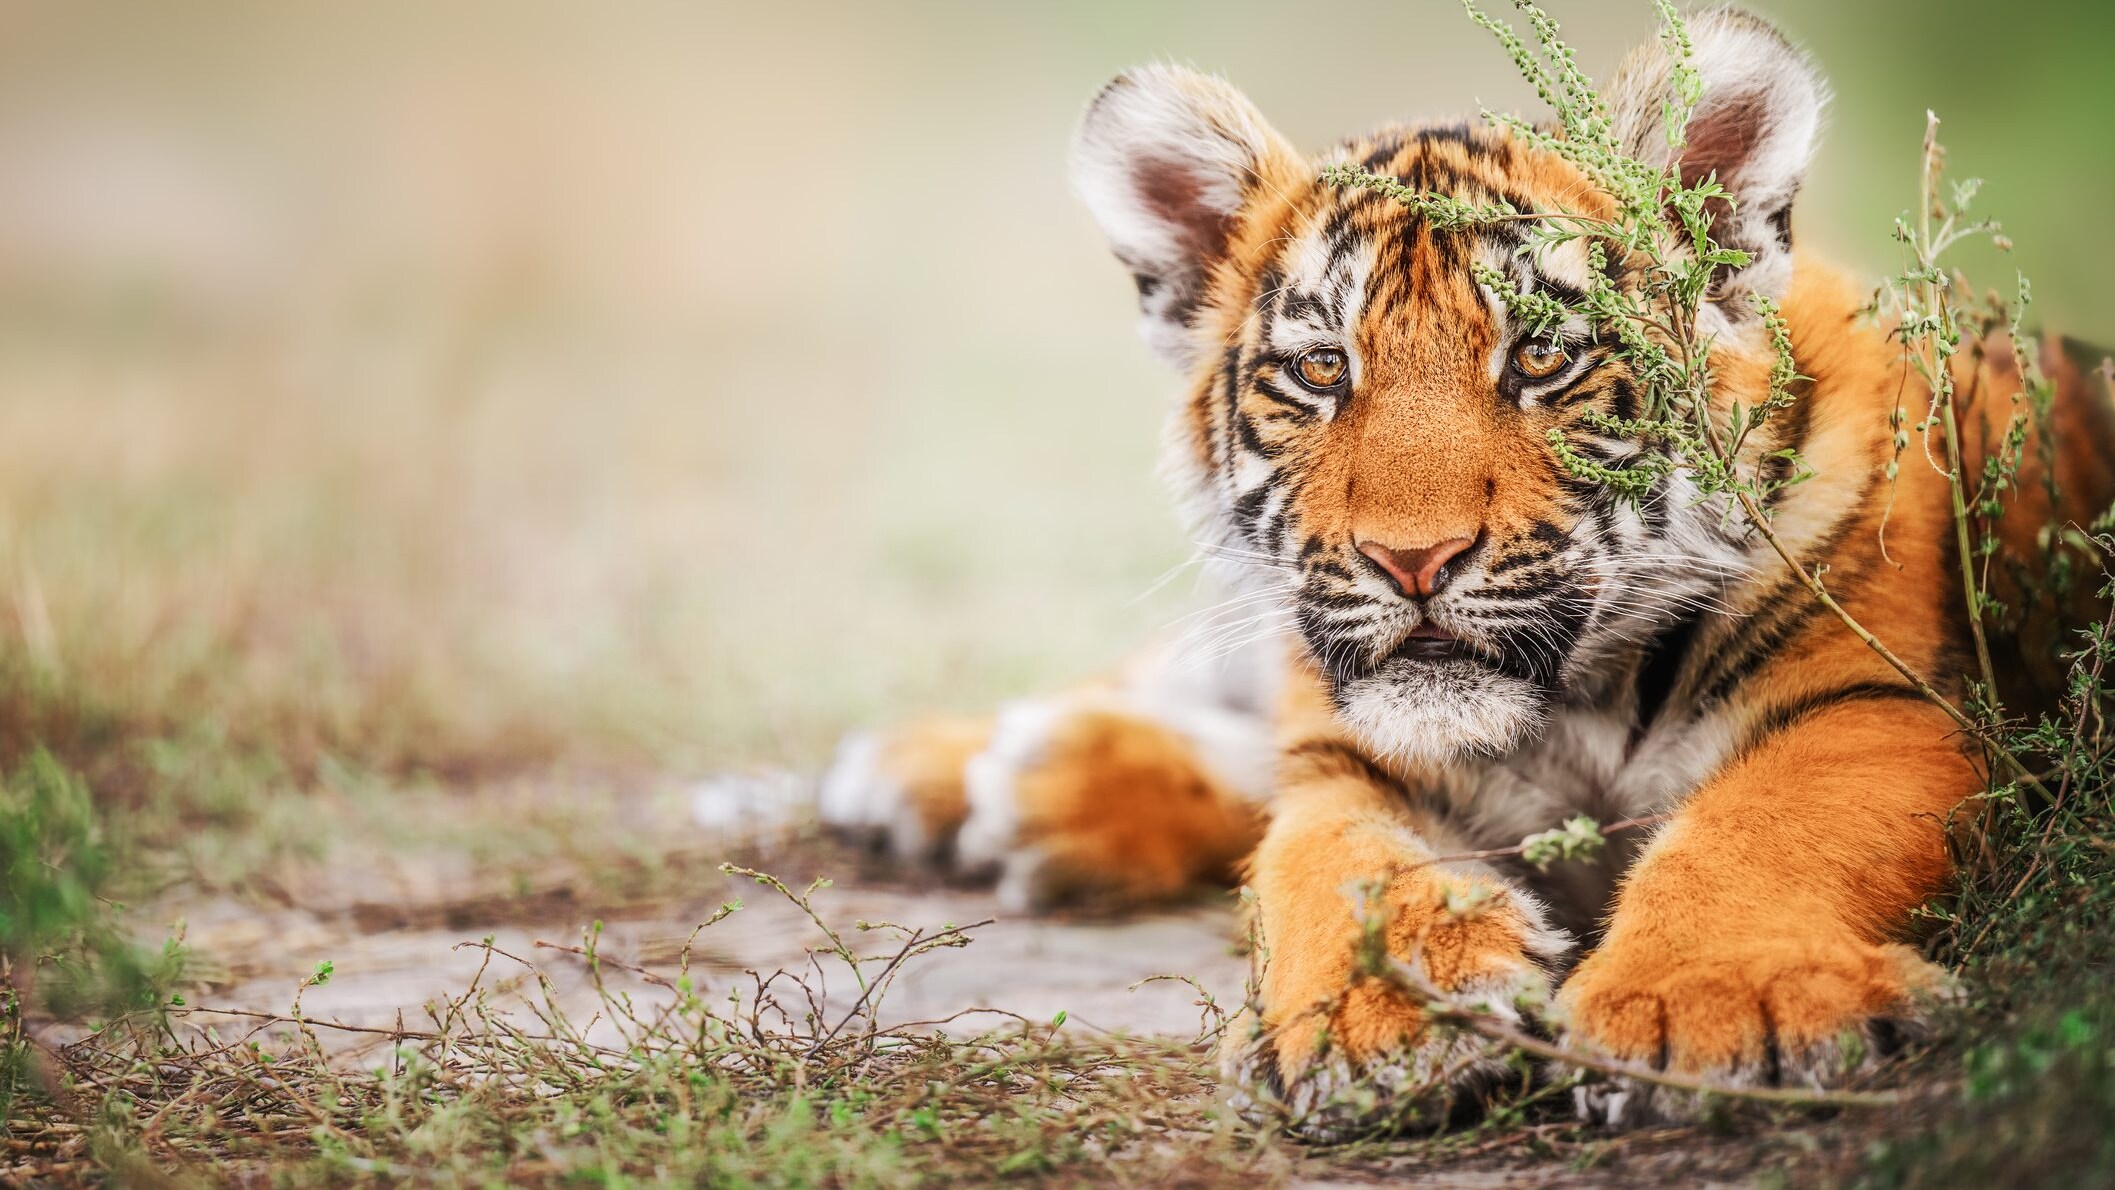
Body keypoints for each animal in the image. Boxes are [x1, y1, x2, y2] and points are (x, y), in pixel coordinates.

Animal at [818, 7, 2115, 1127]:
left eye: (1541, 357)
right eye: (1322, 370)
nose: (1412, 558)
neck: (1576, 706)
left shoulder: (1879, 699)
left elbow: (1763, 823)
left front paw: (1711, 1002)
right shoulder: (1345, 757)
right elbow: (1325, 857)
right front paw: (1378, 1021)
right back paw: (939, 772)